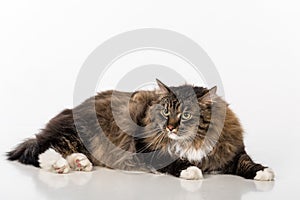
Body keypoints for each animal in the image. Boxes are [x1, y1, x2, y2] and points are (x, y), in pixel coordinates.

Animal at [6, 79, 274, 181]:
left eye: (186, 115)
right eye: (165, 112)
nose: (170, 127)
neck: (191, 142)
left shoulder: (232, 152)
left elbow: (247, 163)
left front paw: (263, 172)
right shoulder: (147, 150)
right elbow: (174, 161)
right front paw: (192, 170)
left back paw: (81, 163)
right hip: (73, 133)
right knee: (40, 151)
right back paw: (60, 165)